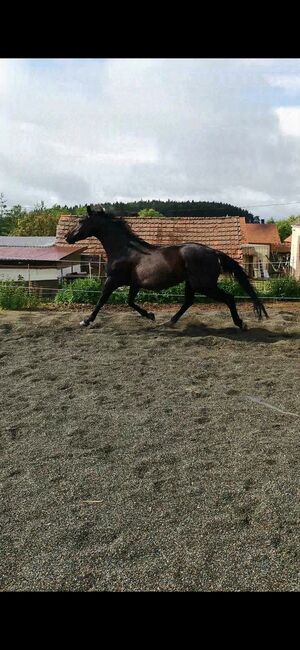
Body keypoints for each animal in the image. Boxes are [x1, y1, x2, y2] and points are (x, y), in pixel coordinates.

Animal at [65, 204, 268, 326]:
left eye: (81, 221)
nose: (68, 237)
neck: (124, 250)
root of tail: (213, 252)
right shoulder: (134, 284)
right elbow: (130, 301)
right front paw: (151, 315)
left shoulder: (112, 280)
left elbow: (101, 300)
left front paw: (86, 320)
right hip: (192, 283)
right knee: (188, 301)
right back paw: (169, 321)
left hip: (204, 285)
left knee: (229, 298)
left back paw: (240, 323)